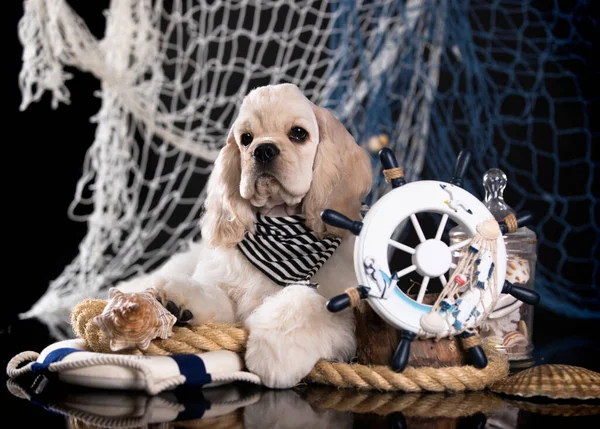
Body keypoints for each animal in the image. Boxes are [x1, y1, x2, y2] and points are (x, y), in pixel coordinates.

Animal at [117, 82, 372, 386]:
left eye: (299, 133)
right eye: (246, 138)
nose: (263, 150)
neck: (279, 229)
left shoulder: (348, 320)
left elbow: (306, 302)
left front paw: (276, 351)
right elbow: (217, 296)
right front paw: (178, 298)